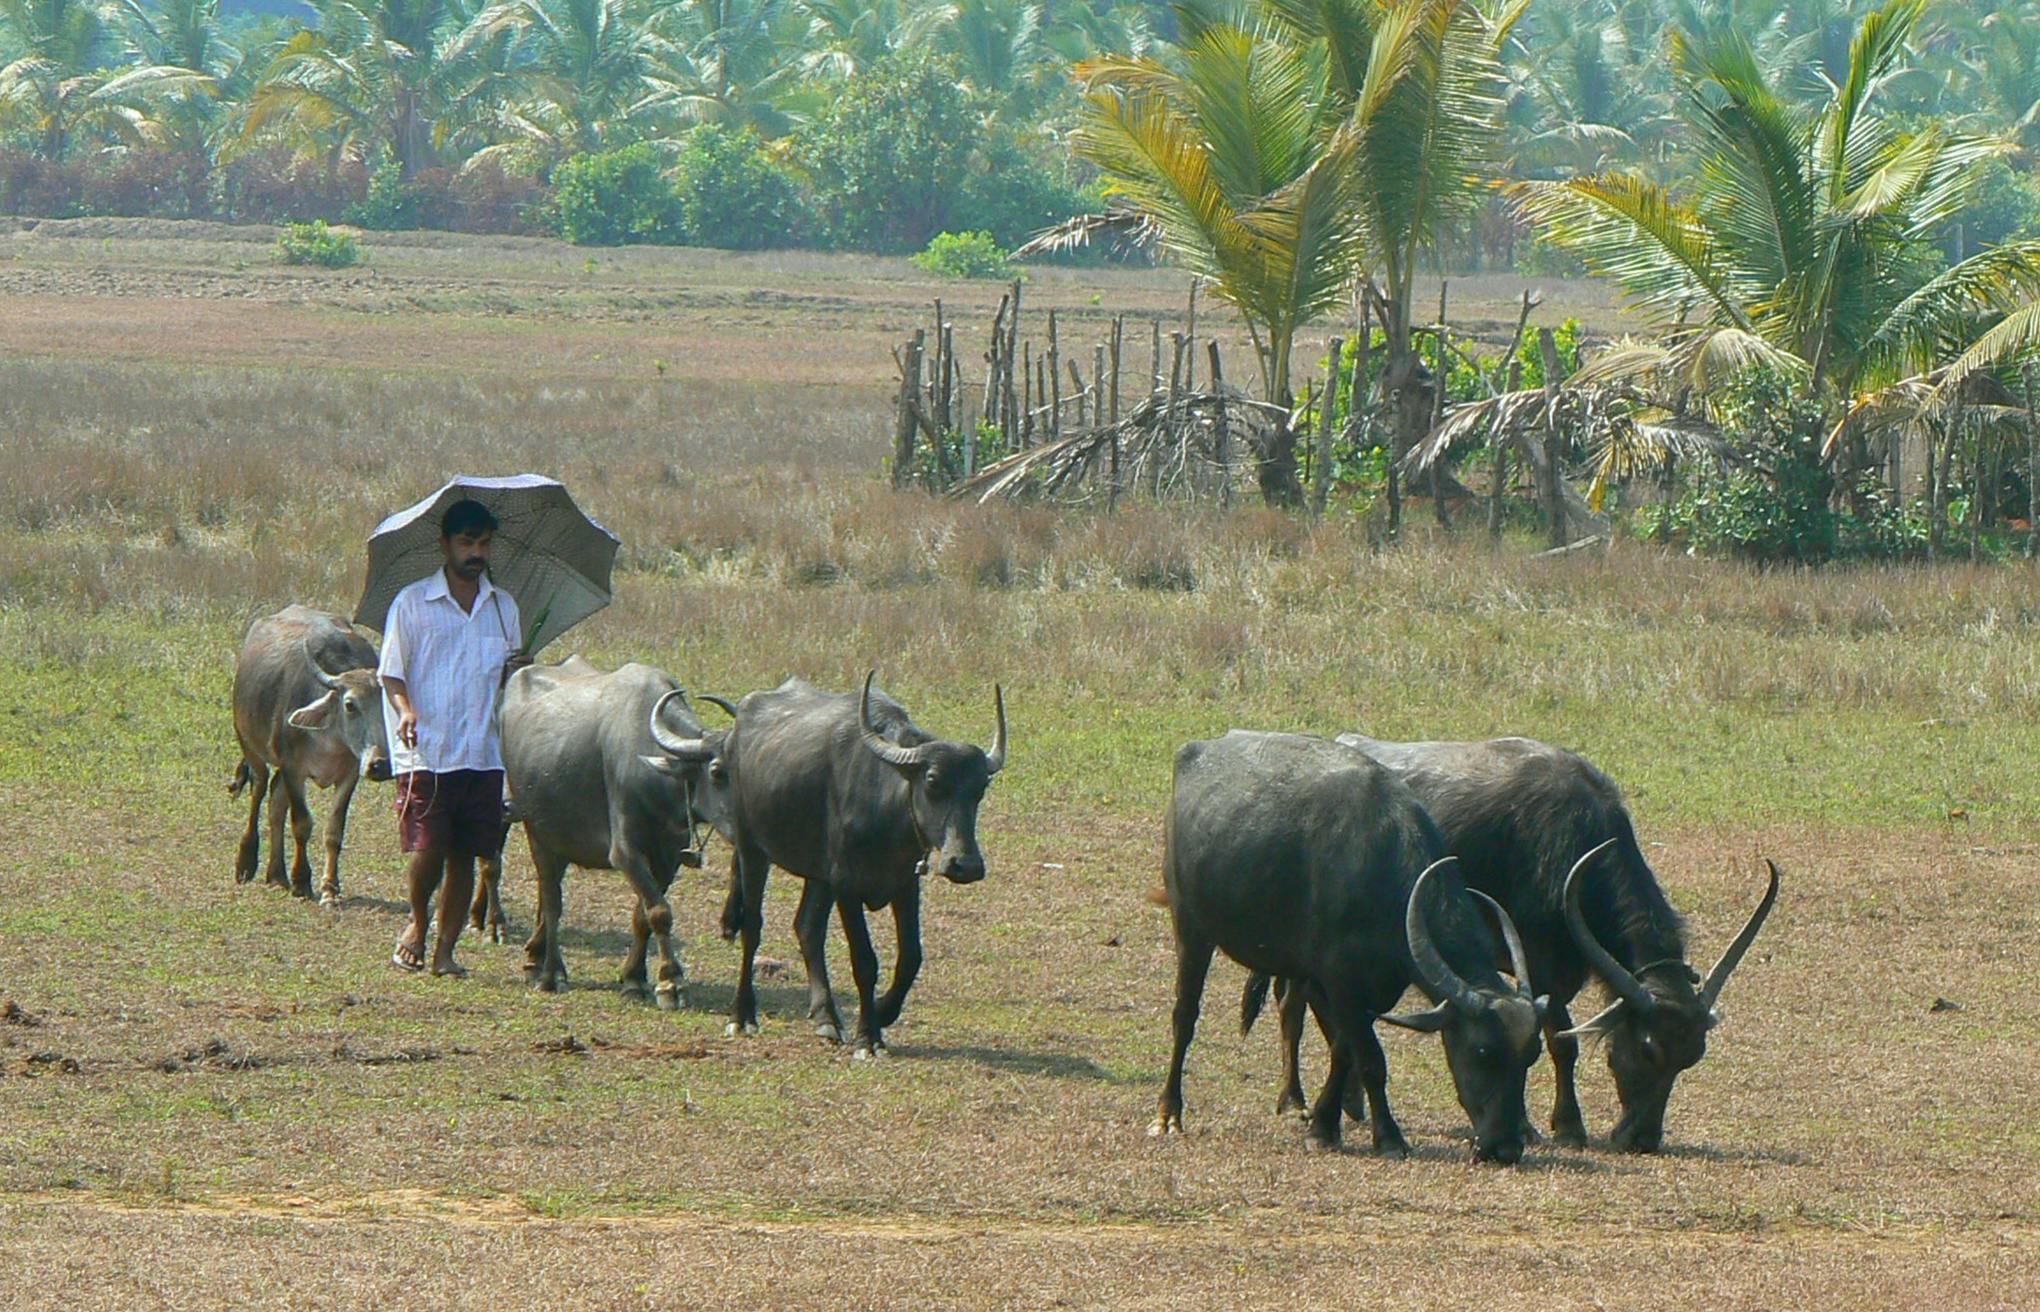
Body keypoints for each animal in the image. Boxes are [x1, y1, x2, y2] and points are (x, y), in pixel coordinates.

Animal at [230, 605, 393, 904]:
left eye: (388, 706)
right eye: (350, 704)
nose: (381, 765)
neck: (330, 740)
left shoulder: (349, 775)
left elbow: (334, 830)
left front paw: (330, 887)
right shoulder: (294, 769)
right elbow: (302, 823)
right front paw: (302, 881)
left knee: (275, 800)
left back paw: (277, 874)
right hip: (248, 743)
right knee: (259, 789)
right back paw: (246, 863)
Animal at [715, 673, 1005, 1056]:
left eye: (980, 788)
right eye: (932, 781)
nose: (965, 864)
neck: (885, 809)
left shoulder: (905, 883)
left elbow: (911, 956)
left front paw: (882, 1012)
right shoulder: (846, 885)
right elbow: (865, 961)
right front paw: (869, 1037)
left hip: (817, 874)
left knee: (807, 927)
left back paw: (826, 1018)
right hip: (752, 850)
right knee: (752, 926)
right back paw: (743, 1015)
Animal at [1157, 731, 1547, 1163]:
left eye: (1531, 1055)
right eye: (1482, 1052)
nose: (1505, 1147)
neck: (1381, 873)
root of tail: (1194, 752)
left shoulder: (1373, 990)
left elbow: (1344, 1051)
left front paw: (1323, 1126)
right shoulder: (1341, 981)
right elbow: (1371, 1059)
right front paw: (1389, 1136)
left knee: (1290, 1012)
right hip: (1191, 927)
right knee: (1185, 1015)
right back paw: (1169, 1114)